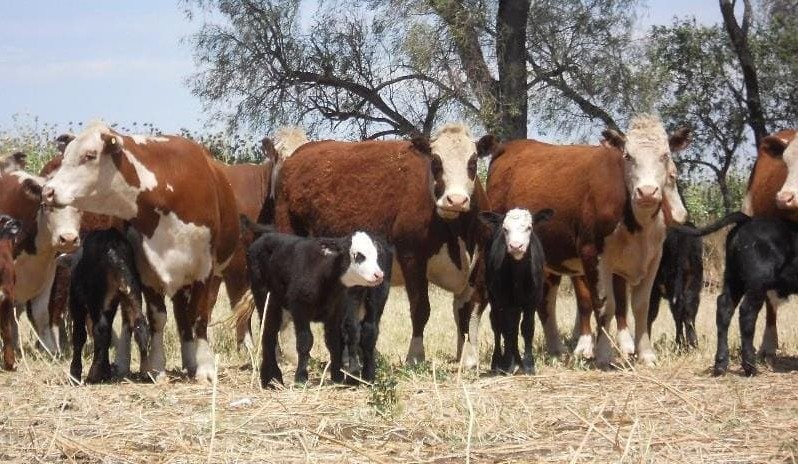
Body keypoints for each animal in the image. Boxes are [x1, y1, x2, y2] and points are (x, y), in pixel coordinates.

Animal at [68, 229, 149, 383]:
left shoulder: (77, 302)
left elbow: (79, 336)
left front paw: (74, 374)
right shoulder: (110, 305)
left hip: (95, 299)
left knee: (100, 329)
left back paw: (93, 375)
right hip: (132, 291)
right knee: (140, 326)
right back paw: (146, 372)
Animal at [247, 229, 386, 387]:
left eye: (376, 255)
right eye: (358, 255)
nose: (379, 275)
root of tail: (265, 236)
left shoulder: (335, 311)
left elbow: (334, 342)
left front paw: (337, 377)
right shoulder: (299, 308)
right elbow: (305, 341)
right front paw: (301, 378)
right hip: (264, 297)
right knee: (268, 333)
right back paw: (271, 379)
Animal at [271, 123, 492, 367]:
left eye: (472, 162)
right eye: (435, 161)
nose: (456, 200)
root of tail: (296, 156)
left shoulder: (478, 266)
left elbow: (469, 312)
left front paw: (468, 358)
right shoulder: (412, 258)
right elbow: (420, 308)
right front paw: (415, 356)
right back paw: (292, 354)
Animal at [478, 208, 552, 375]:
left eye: (529, 227)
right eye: (505, 229)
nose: (516, 246)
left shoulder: (533, 300)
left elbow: (527, 328)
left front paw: (528, 365)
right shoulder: (504, 300)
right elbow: (507, 330)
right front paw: (508, 364)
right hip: (494, 298)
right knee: (498, 325)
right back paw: (498, 362)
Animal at [483, 115, 690, 368]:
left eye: (665, 156)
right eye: (628, 156)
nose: (647, 192)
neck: (637, 223)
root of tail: (507, 147)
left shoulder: (652, 258)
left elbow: (640, 306)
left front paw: (646, 354)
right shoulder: (593, 255)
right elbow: (604, 304)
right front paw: (602, 354)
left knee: (545, 302)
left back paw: (556, 349)